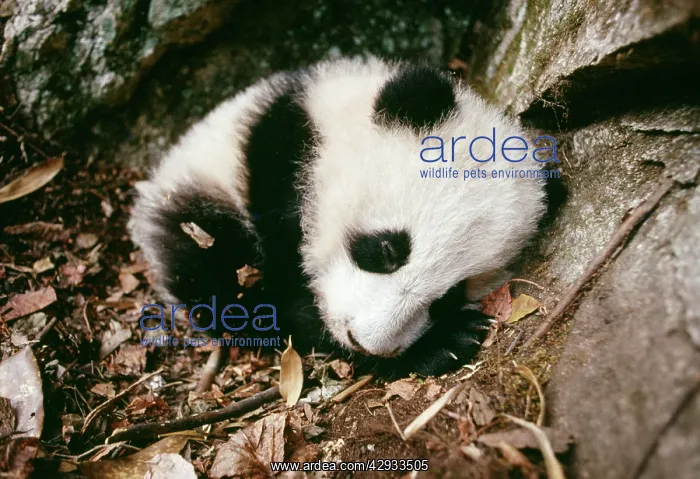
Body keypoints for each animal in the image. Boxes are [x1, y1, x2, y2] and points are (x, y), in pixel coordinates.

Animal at [128, 56, 547, 377]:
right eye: (387, 249)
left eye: (448, 296)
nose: (366, 343)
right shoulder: (278, 160)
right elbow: (283, 296)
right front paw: (441, 344)